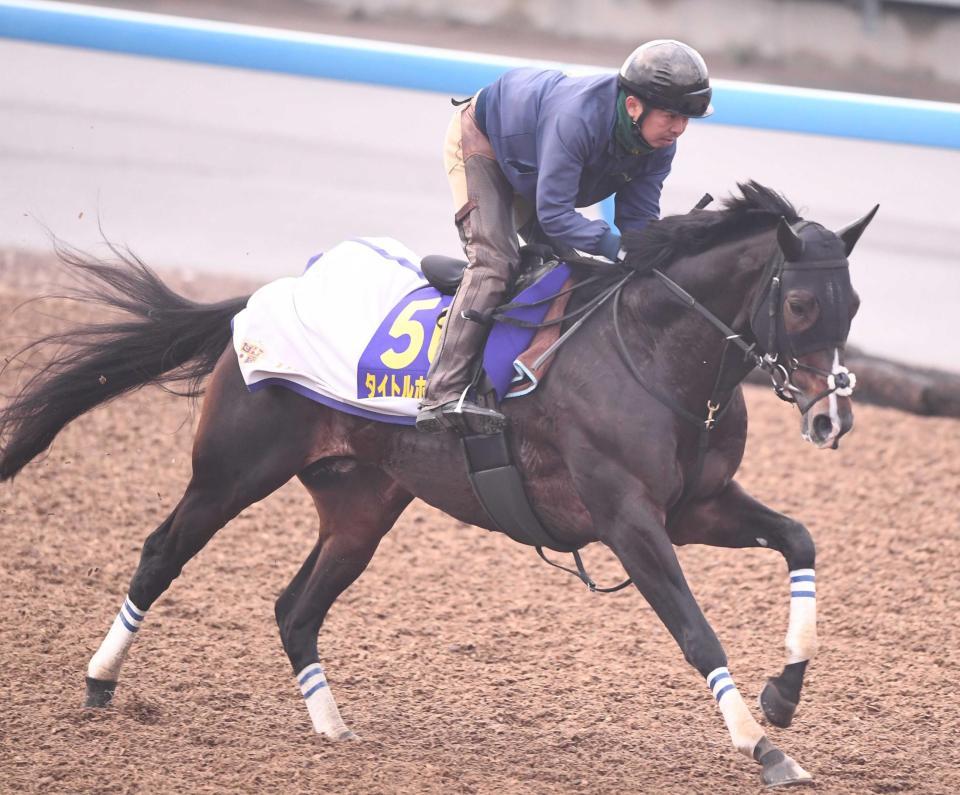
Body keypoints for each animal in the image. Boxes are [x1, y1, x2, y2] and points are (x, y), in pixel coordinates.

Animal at [0, 183, 876, 788]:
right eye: (802, 301)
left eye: (856, 301)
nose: (833, 417)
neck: (654, 350)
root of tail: (265, 296)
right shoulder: (629, 518)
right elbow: (697, 632)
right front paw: (764, 745)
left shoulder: (697, 506)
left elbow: (800, 538)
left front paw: (783, 693)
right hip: (232, 471)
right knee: (162, 553)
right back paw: (100, 680)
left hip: (361, 504)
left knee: (294, 607)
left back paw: (332, 726)